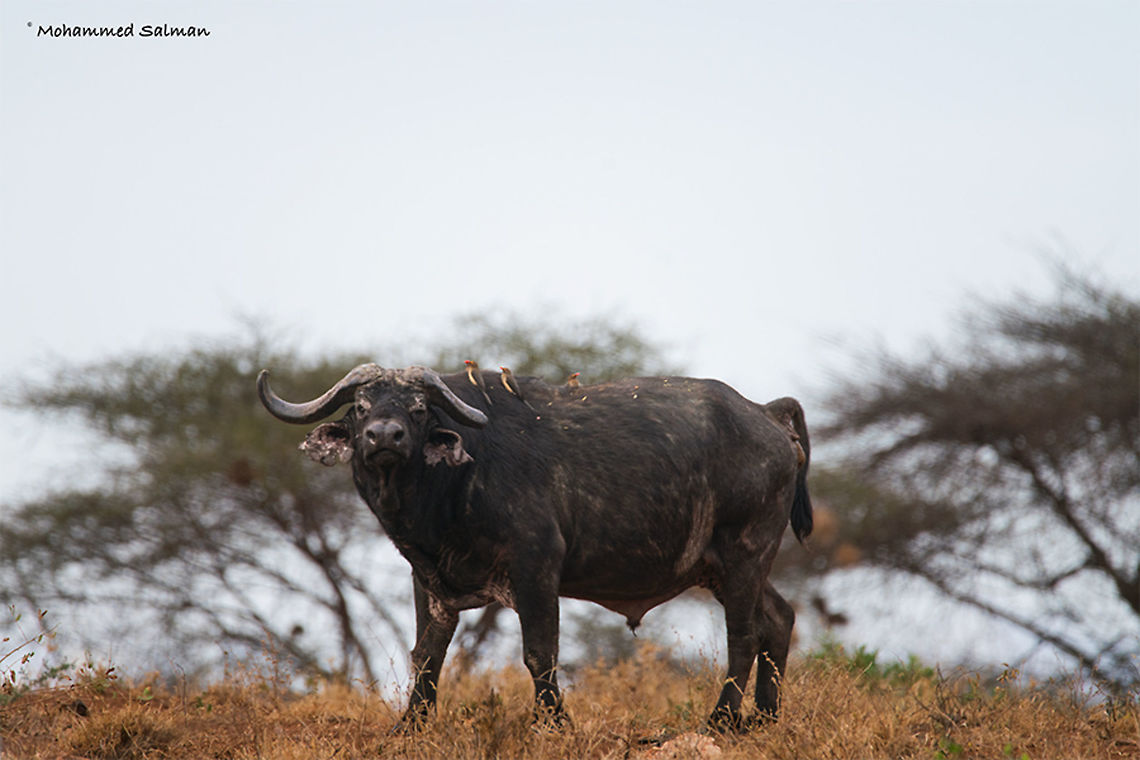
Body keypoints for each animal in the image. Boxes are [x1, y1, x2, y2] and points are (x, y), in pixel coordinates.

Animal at [257, 363, 812, 730]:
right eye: (361, 407)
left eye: (417, 409)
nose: (384, 436)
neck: (455, 483)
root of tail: (765, 414)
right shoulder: (429, 580)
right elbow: (427, 655)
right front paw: (409, 727)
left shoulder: (536, 567)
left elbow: (539, 653)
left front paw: (554, 724)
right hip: (722, 567)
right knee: (778, 618)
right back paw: (765, 718)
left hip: (745, 552)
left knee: (743, 636)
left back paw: (720, 722)